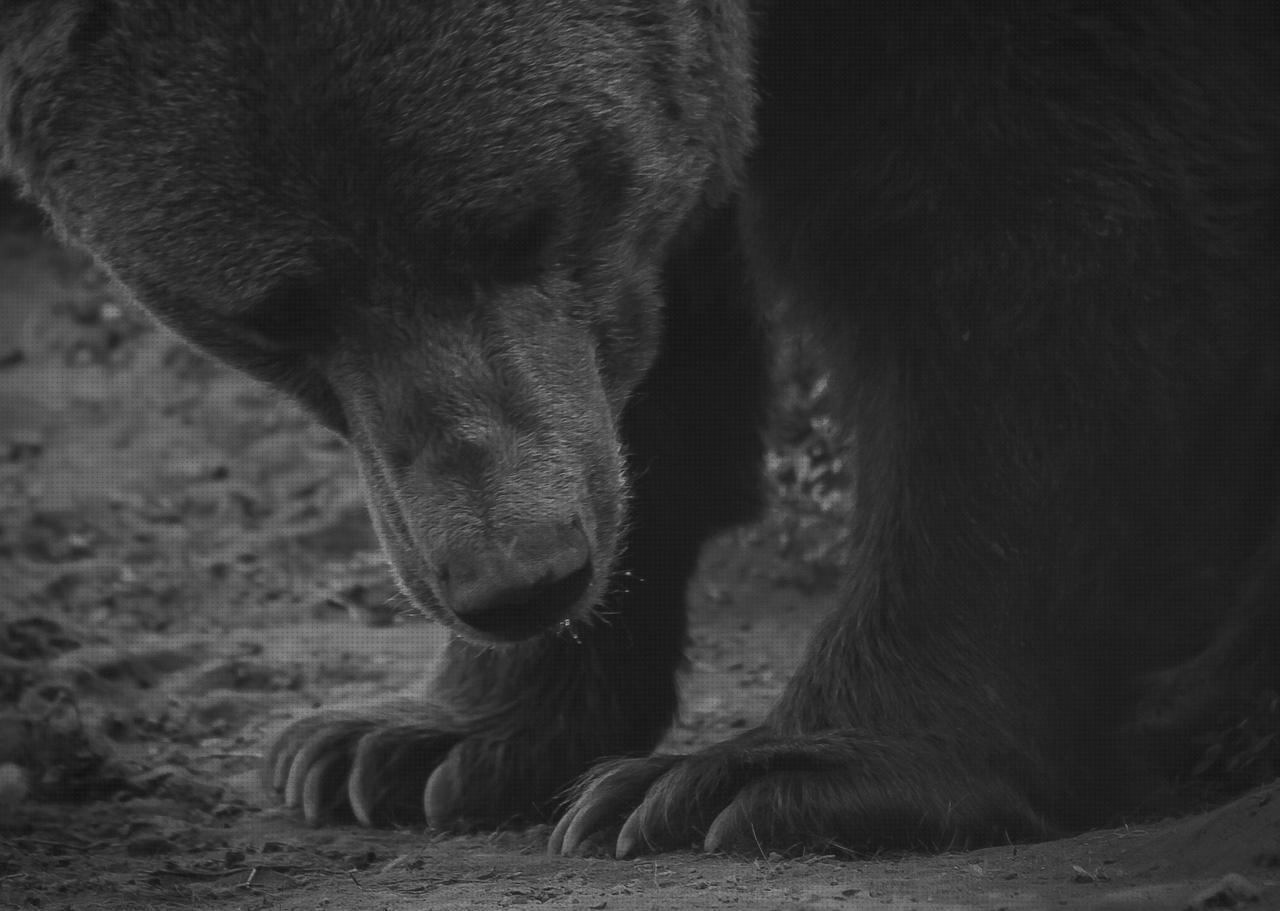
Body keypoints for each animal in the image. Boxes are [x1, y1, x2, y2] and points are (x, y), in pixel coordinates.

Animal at [0, 0, 1274, 859]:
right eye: (278, 312)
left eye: (518, 222)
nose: (516, 574)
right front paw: (407, 744)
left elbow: (1028, 228)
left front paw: (745, 779)